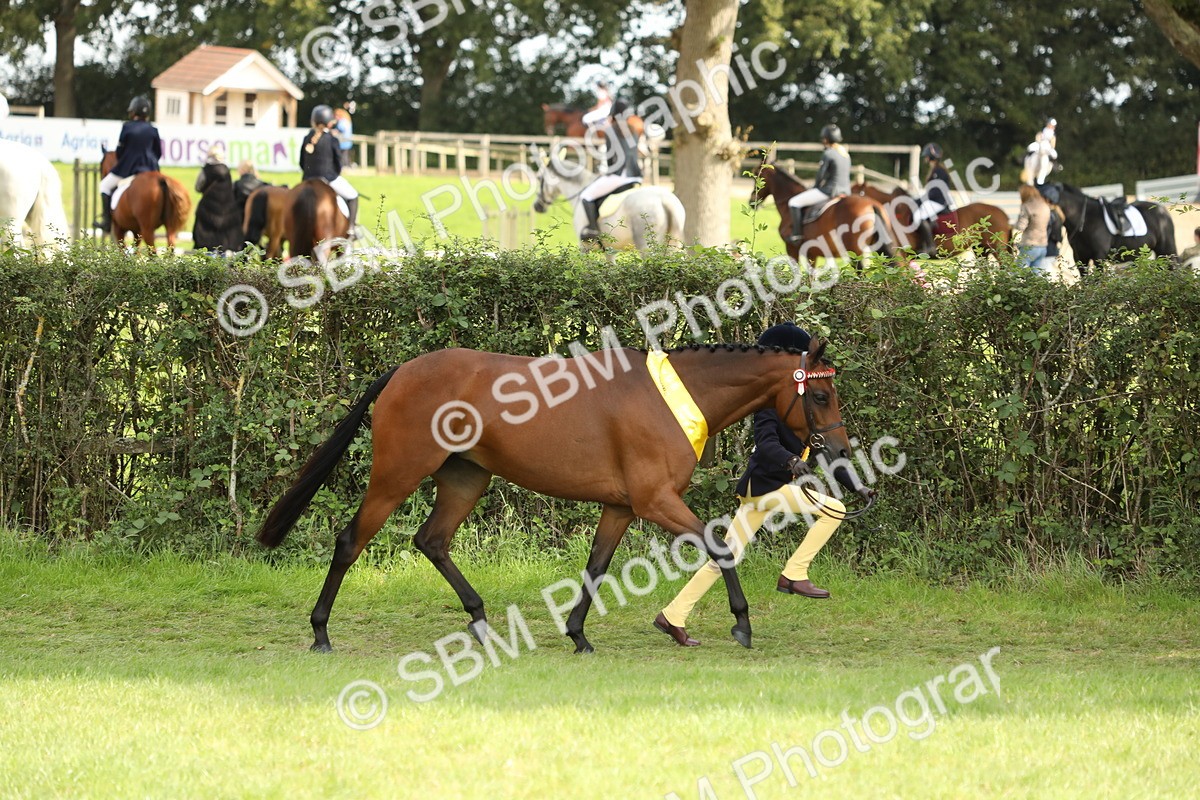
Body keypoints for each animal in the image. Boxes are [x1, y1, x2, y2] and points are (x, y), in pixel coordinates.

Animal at [257, 340, 860, 654]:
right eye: (820, 395)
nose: (838, 453)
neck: (675, 397)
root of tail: (402, 370)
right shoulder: (654, 500)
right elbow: (719, 548)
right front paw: (737, 624)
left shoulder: (621, 506)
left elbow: (596, 566)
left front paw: (578, 635)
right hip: (396, 474)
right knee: (350, 541)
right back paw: (320, 632)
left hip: (465, 479)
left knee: (433, 540)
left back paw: (480, 622)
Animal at [532, 151, 685, 251]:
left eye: (539, 178)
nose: (537, 206)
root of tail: (663, 200)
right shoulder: (610, 250)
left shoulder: (584, 248)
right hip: (673, 245)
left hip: (647, 245)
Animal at [749, 157, 897, 263]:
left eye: (756, 174)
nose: (751, 201)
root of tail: (871, 205)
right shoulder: (812, 254)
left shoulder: (793, 250)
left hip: (856, 253)